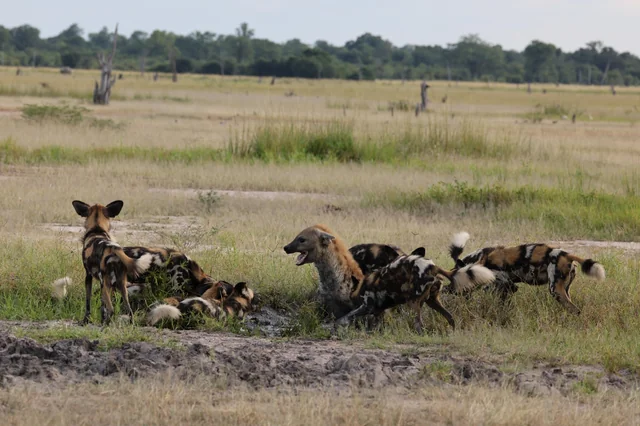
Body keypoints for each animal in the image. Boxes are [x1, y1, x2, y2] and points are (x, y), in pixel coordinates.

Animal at [340, 255, 496, 332]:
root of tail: (433, 267)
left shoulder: (367, 307)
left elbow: (345, 317)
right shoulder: (378, 312)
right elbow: (375, 325)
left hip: (414, 302)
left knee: (418, 324)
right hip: (432, 301)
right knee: (450, 318)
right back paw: (453, 333)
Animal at [444, 233, 604, 312]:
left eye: (453, 281)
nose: (445, 289)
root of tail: (566, 254)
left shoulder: (504, 285)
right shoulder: (507, 288)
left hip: (555, 291)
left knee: (575, 309)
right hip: (564, 289)